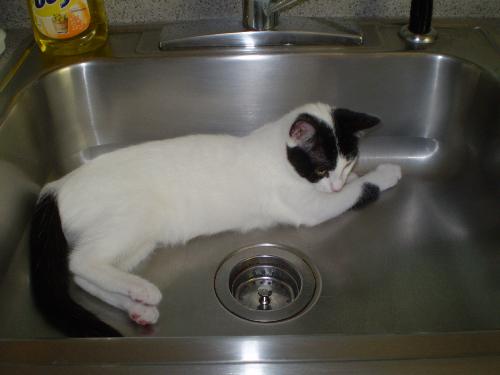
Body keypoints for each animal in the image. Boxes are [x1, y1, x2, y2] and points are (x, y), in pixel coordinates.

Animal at [29, 102, 402, 338]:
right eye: (322, 168)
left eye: (348, 163)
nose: (336, 183)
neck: (276, 156)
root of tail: (56, 186)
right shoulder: (307, 207)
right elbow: (357, 192)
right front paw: (385, 173)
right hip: (130, 218)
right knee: (81, 261)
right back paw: (143, 291)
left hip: (140, 238)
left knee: (83, 276)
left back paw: (138, 308)